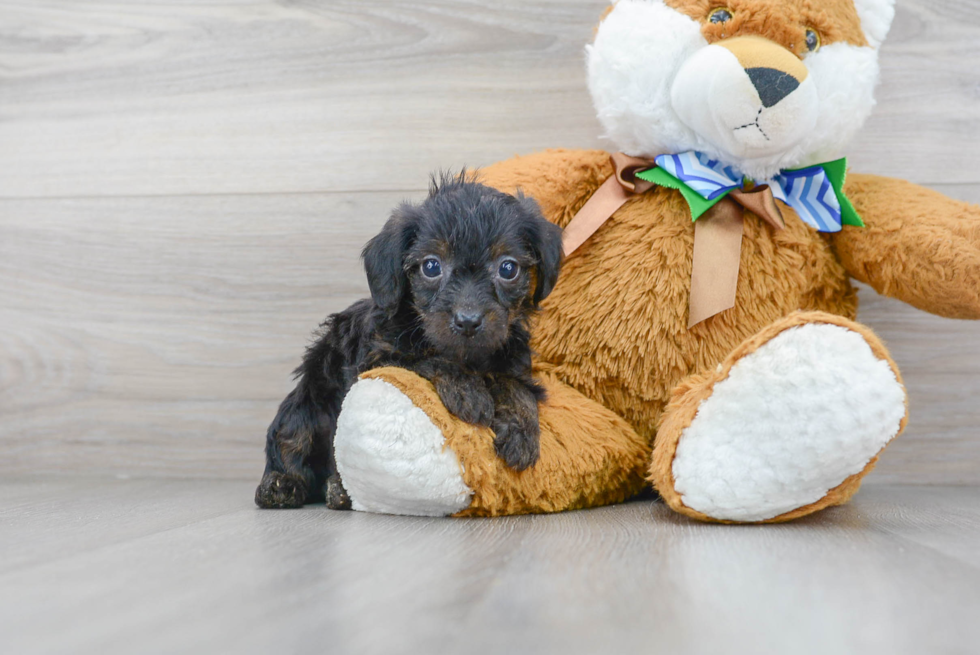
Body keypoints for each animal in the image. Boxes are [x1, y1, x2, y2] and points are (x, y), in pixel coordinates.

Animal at [255, 176, 560, 512]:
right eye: (431, 266)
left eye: (508, 268)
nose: (468, 320)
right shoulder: (377, 358)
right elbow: (424, 359)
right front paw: (468, 389)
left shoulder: (513, 359)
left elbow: (517, 387)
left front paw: (521, 430)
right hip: (309, 402)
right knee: (291, 440)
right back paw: (288, 485)